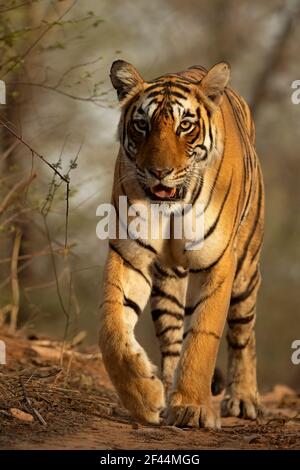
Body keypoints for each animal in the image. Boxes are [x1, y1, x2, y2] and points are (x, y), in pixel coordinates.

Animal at [98, 59, 264, 430]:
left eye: (185, 126)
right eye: (142, 125)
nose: (159, 172)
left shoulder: (220, 262)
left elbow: (204, 336)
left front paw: (192, 407)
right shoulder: (130, 255)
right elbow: (112, 328)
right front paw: (144, 396)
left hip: (246, 270)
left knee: (244, 334)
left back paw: (244, 399)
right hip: (168, 283)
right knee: (173, 339)